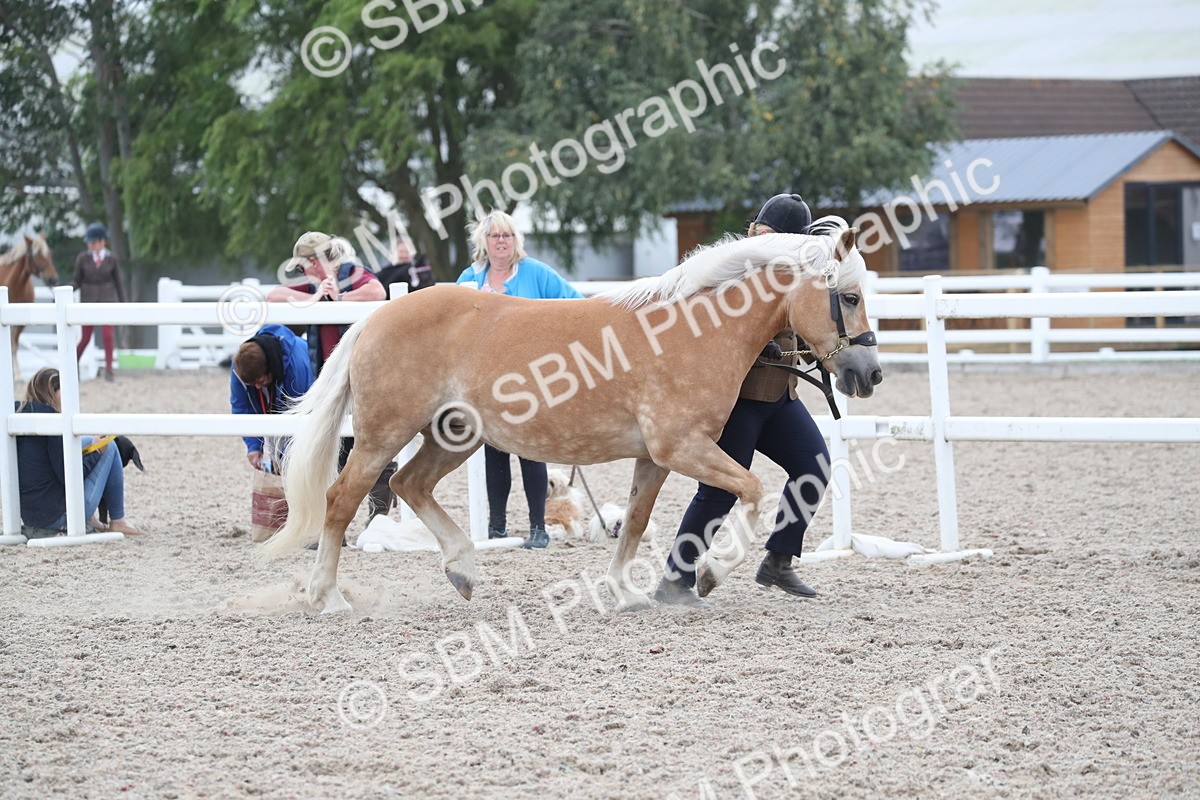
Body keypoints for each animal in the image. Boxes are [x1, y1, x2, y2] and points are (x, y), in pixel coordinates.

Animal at [1, 234, 59, 382]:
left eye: (50, 254)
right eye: (37, 254)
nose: (52, 279)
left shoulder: (20, 323)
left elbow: (14, 345)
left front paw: (17, 375)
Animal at [260, 218, 883, 614]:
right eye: (849, 298)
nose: (870, 374)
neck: (690, 330)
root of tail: (375, 318)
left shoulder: (655, 460)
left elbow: (635, 522)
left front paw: (628, 595)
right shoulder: (683, 448)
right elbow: (752, 492)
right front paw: (709, 574)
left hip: (454, 435)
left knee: (410, 484)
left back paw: (463, 571)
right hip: (382, 435)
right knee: (343, 499)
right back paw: (328, 598)